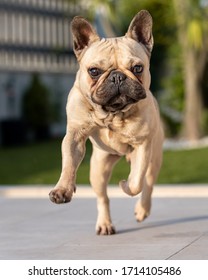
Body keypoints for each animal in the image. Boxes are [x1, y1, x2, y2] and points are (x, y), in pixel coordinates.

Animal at [49, 9, 164, 235]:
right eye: (94, 71)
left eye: (137, 68)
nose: (117, 77)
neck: (113, 113)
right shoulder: (74, 137)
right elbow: (68, 164)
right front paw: (63, 189)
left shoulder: (143, 145)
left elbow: (135, 184)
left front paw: (125, 185)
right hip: (98, 168)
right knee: (103, 197)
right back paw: (104, 224)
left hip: (154, 158)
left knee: (147, 184)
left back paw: (142, 209)